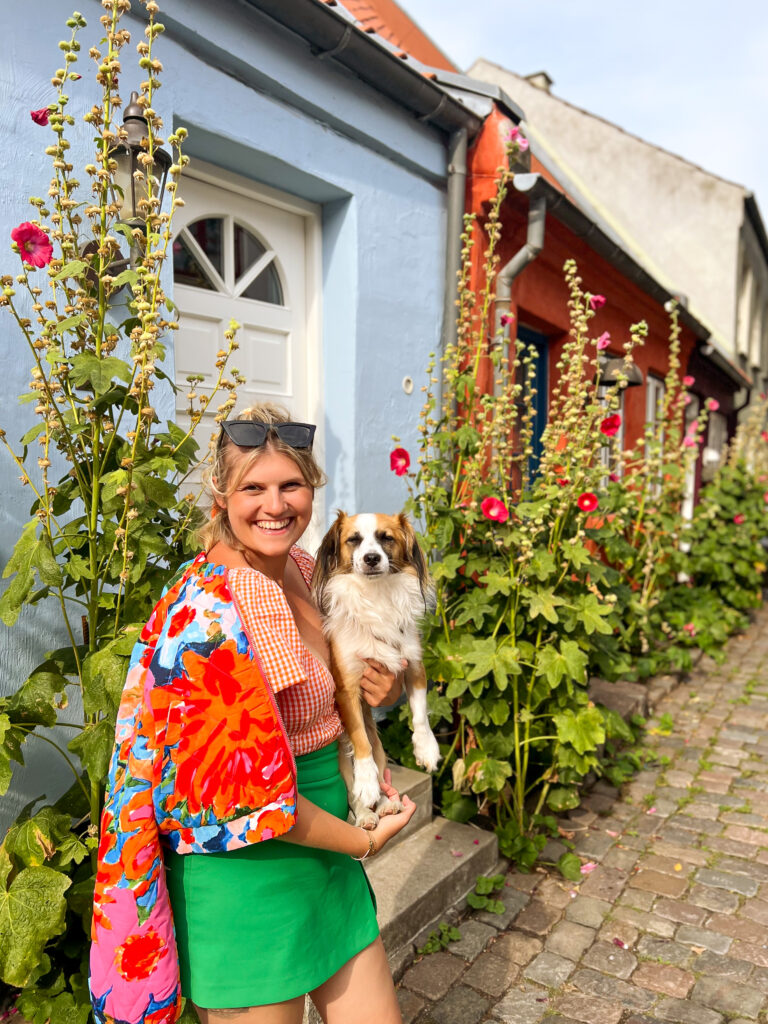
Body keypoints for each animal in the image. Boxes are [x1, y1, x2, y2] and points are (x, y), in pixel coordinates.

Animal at [313, 507, 442, 827]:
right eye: (354, 540)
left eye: (386, 538)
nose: (371, 558)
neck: (376, 594)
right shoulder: (346, 688)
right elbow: (361, 742)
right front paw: (367, 782)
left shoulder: (413, 665)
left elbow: (420, 713)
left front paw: (426, 749)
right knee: (354, 793)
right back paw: (365, 814)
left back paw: (385, 804)